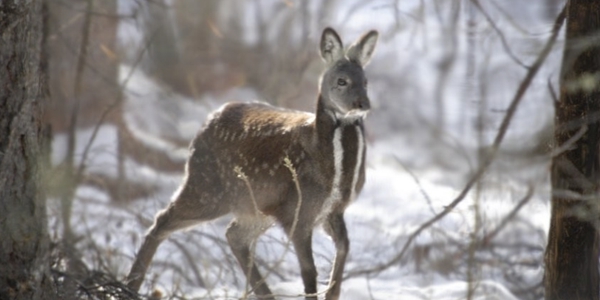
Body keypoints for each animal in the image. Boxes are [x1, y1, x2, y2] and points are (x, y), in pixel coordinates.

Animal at [125, 27, 380, 298]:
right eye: (342, 81)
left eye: (365, 81)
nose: (362, 104)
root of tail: (205, 125)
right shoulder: (298, 208)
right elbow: (309, 271)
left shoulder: (332, 210)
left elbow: (343, 251)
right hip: (206, 187)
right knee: (162, 220)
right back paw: (130, 285)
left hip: (255, 205)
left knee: (234, 235)